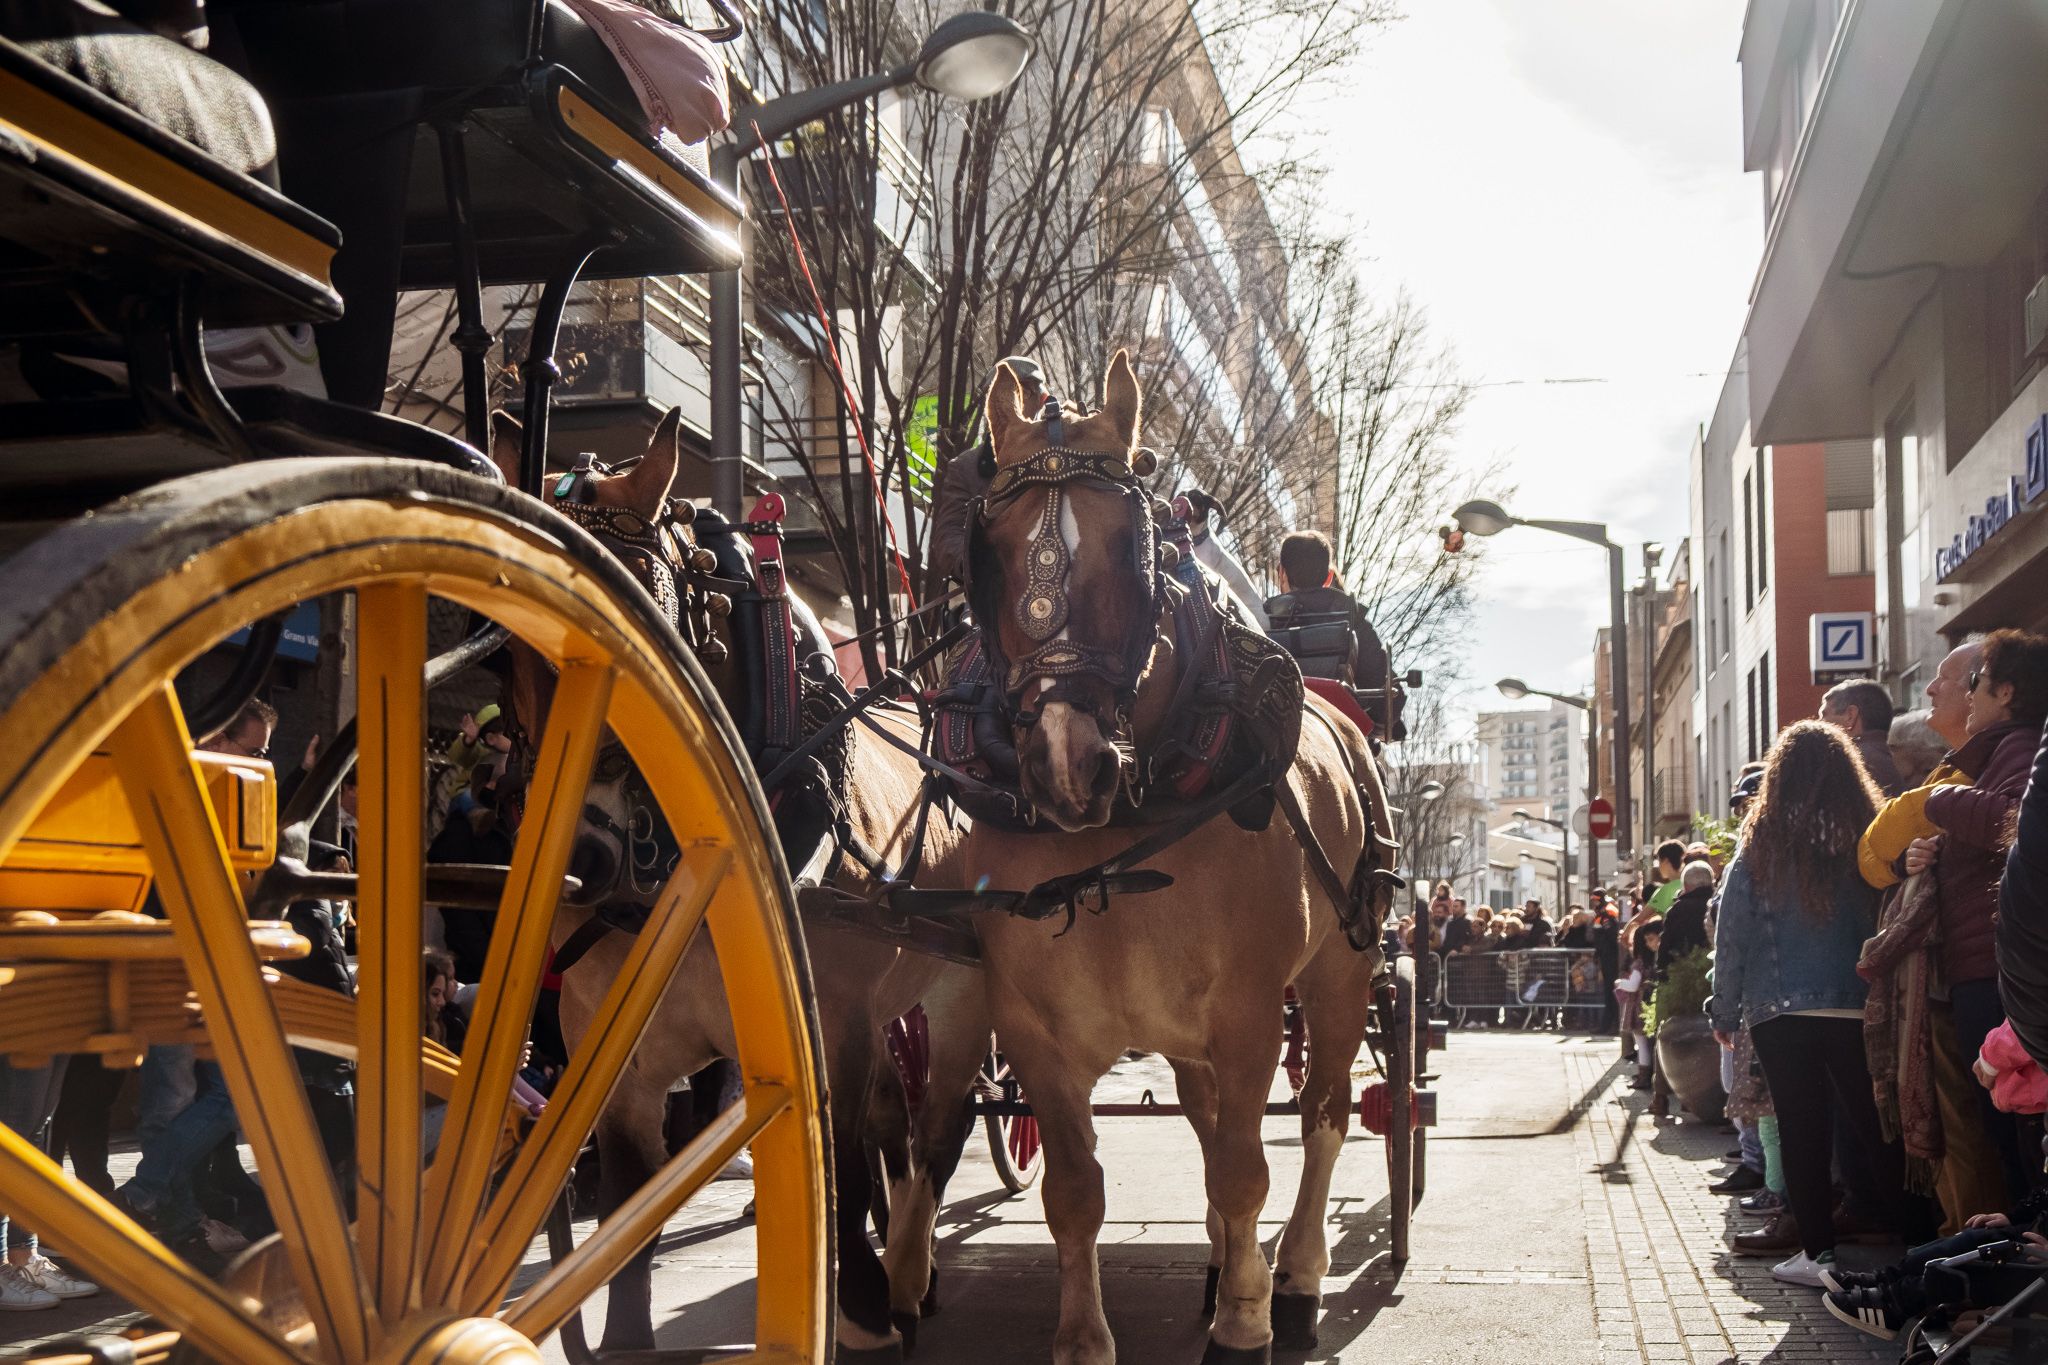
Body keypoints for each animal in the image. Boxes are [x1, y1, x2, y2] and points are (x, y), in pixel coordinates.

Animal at [483, 413, 970, 1358]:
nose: (583, 861)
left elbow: (841, 1178)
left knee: (929, 1125)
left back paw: (906, 1273)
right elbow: (628, 1221)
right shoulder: (624, 1068)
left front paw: (861, 1304)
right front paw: (626, 1334)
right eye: (514, 646)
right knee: (895, 1123)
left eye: (649, 636)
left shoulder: (836, 1025)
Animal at [892, 358, 1392, 1358]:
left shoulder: (1247, 1012)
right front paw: (1087, 1336)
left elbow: (1246, 1171)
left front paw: (1244, 1319)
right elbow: (1075, 1192)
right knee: (1202, 1126)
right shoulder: (1034, 1025)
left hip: (1340, 971)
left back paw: (1295, 1273)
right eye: (989, 550)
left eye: (1134, 546)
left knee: (1322, 1115)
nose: (1064, 761)